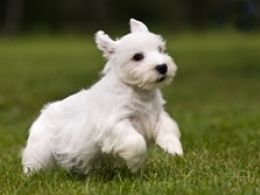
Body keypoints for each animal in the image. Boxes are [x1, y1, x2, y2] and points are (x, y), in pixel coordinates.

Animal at [21, 19, 183, 175]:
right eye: (137, 57)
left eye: (160, 49)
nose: (163, 67)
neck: (139, 91)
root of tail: (44, 111)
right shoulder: (116, 123)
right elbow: (136, 141)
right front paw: (136, 163)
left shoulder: (157, 114)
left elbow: (167, 127)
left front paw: (174, 149)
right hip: (41, 150)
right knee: (34, 163)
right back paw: (31, 175)